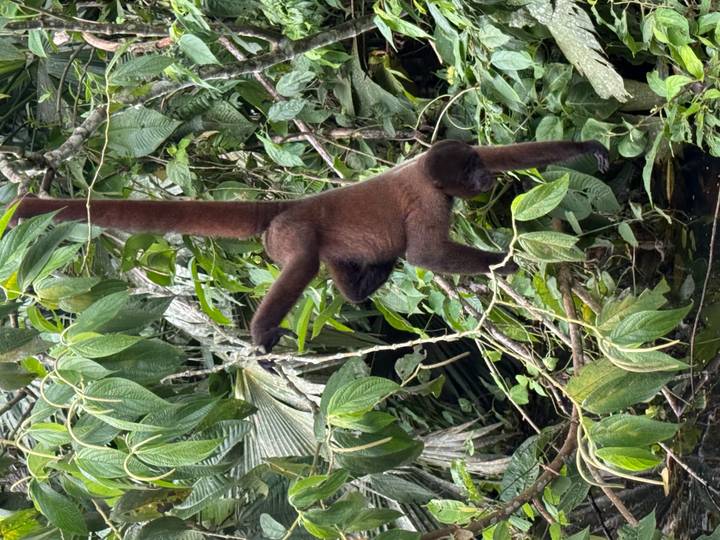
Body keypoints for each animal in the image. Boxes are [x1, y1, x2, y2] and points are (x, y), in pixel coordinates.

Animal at [12, 139, 609, 353]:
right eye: (471, 174)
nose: (484, 181)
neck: (428, 176)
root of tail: (284, 208)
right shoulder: (429, 201)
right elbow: (426, 255)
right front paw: (501, 263)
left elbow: (516, 151)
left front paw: (585, 146)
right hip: (291, 235)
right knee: (301, 264)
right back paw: (262, 331)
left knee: (338, 269)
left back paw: (365, 284)